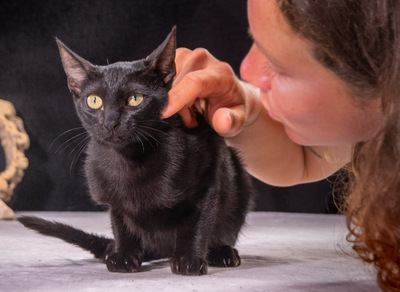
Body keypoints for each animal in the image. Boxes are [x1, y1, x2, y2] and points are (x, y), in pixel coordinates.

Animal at [18, 26, 253, 276]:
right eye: (94, 101)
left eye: (135, 99)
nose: (110, 122)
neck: (130, 160)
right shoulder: (112, 197)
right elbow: (121, 224)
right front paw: (124, 255)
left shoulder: (208, 177)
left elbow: (197, 225)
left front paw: (189, 259)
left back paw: (222, 253)